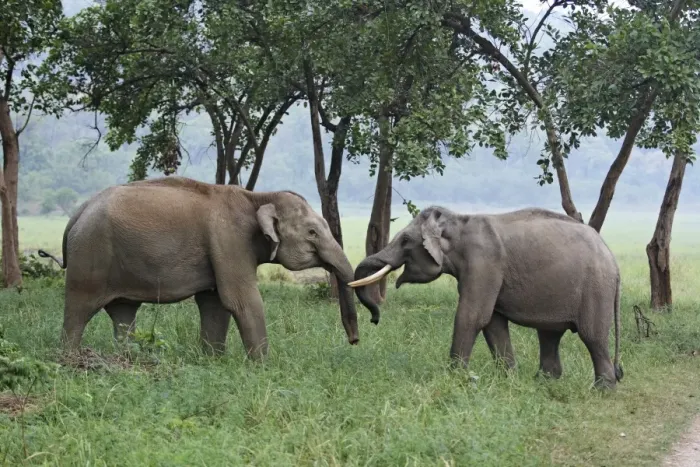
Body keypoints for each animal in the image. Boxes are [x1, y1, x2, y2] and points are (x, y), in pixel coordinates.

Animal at [38, 176, 366, 359]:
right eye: (312, 232)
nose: (354, 340)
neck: (257, 197)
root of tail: (77, 213)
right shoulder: (229, 240)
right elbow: (241, 300)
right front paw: (264, 366)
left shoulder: (223, 248)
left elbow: (214, 303)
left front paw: (213, 360)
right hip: (89, 256)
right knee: (79, 309)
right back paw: (69, 359)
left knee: (123, 312)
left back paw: (127, 358)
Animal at [348, 206, 623, 389]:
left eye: (405, 240)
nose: (374, 320)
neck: (459, 220)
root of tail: (612, 257)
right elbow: (493, 322)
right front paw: (507, 380)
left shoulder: (483, 262)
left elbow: (472, 316)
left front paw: (456, 379)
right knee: (549, 334)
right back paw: (544, 382)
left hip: (596, 287)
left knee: (592, 336)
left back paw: (601, 390)